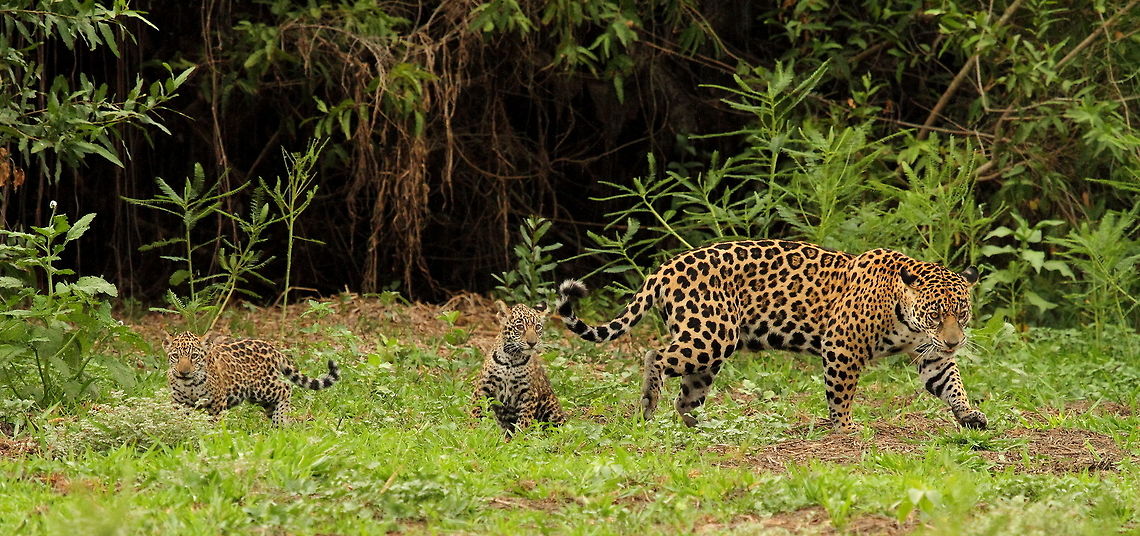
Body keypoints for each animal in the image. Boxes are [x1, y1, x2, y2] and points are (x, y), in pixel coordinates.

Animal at [163, 332, 340, 424]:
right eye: (175, 356)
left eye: (194, 356)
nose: (184, 372)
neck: (189, 385)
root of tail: (272, 348)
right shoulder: (179, 403)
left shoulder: (217, 401)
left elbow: (215, 422)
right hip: (258, 396)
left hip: (262, 387)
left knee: (286, 388)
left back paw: (280, 420)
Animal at [472, 301, 566, 436]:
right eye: (520, 327)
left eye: (538, 327)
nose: (532, 343)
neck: (511, 360)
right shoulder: (482, 387)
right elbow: (475, 411)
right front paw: (472, 431)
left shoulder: (529, 394)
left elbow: (524, 421)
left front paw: (519, 438)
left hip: (550, 405)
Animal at [555, 239, 986, 433]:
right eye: (936, 313)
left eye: (961, 313)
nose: (955, 341)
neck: (904, 314)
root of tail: (664, 267)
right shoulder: (841, 345)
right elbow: (842, 394)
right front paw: (845, 428)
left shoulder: (931, 354)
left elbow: (951, 383)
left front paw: (969, 414)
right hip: (710, 334)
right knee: (655, 356)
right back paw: (648, 404)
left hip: (710, 350)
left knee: (687, 393)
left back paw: (697, 426)